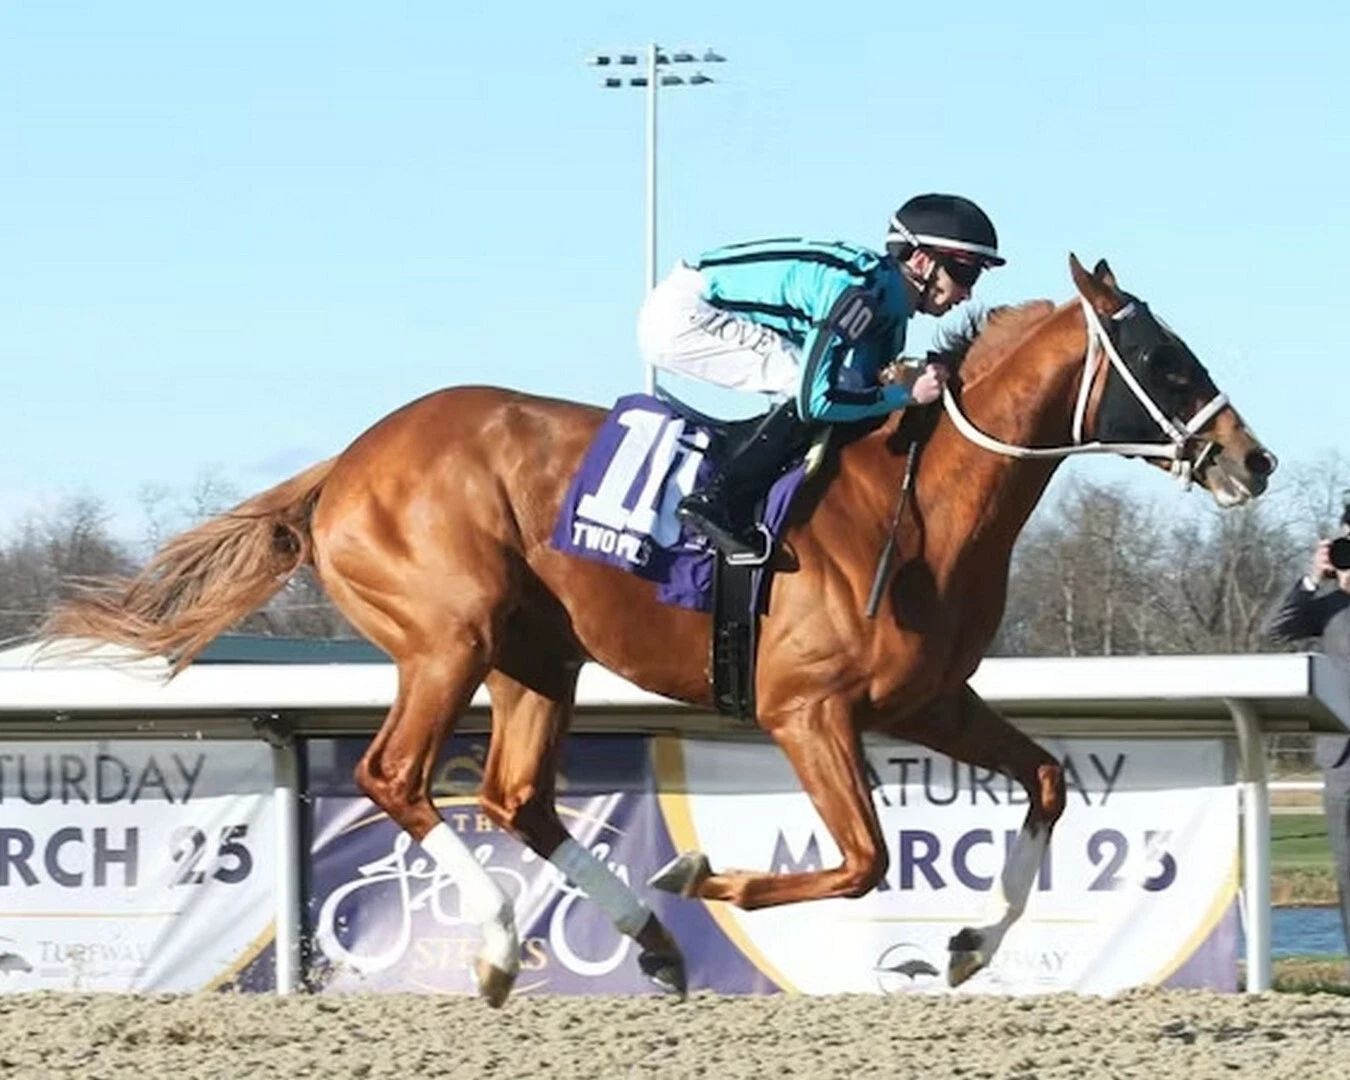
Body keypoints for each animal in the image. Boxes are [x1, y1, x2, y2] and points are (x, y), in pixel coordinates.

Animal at [44, 255, 1275, 1005]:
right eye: (1164, 360)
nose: (1252, 458)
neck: (917, 502)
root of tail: (346, 462)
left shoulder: (927, 698)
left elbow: (1050, 783)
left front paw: (971, 947)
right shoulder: (806, 709)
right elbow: (863, 860)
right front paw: (707, 875)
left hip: (539, 654)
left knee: (516, 797)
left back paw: (643, 936)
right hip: (449, 637)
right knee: (398, 776)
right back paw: (509, 945)